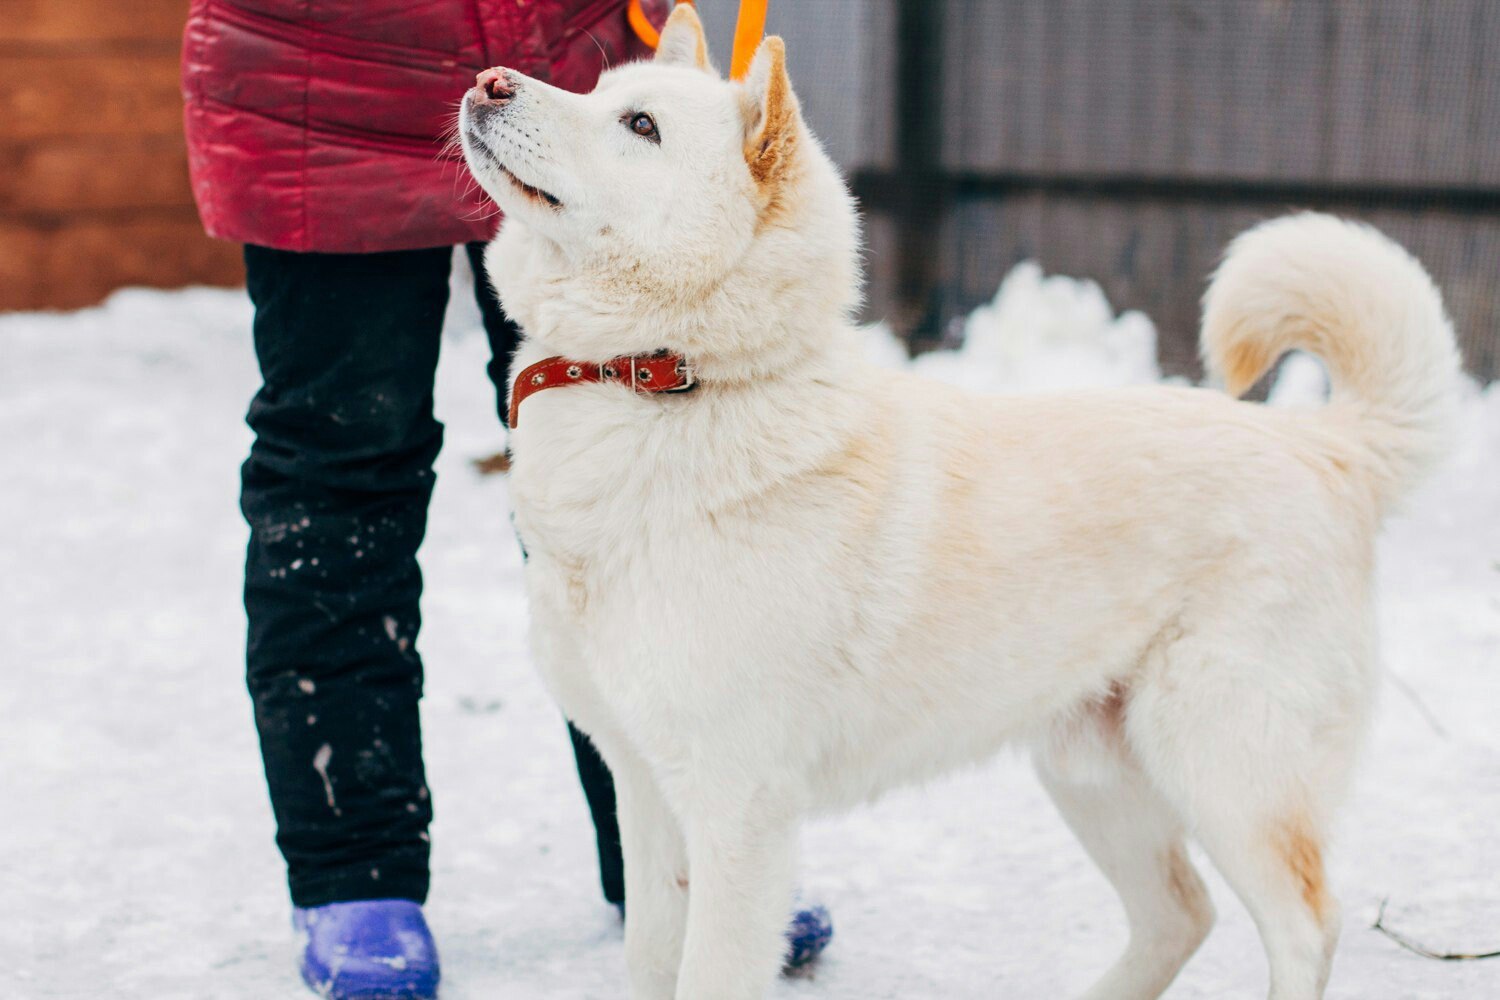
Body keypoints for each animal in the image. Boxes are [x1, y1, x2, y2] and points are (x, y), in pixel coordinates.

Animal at [459, 9, 1464, 1000]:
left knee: (1302, 927)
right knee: (1181, 914)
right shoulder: (645, 792)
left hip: (1224, 766)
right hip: (1093, 775)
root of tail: (1328, 448)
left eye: (641, 127)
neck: (666, 382)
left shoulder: (739, 810)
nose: (488, 82)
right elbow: (647, 963)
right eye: (597, 88)